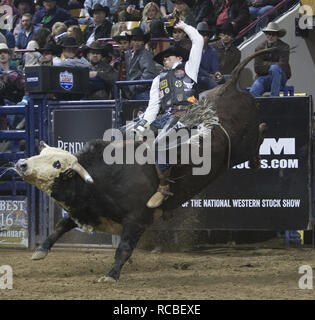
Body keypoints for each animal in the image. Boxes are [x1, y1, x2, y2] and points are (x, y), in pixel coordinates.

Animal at [15, 48, 272, 282]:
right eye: (42, 155)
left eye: (56, 163)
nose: (21, 163)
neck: (107, 176)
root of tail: (229, 85)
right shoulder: (86, 208)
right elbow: (61, 225)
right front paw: (41, 250)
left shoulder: (136, 220)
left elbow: (124, 249)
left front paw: (111, 275)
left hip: (242, 146)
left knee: (259, 133)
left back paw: (257, 158)